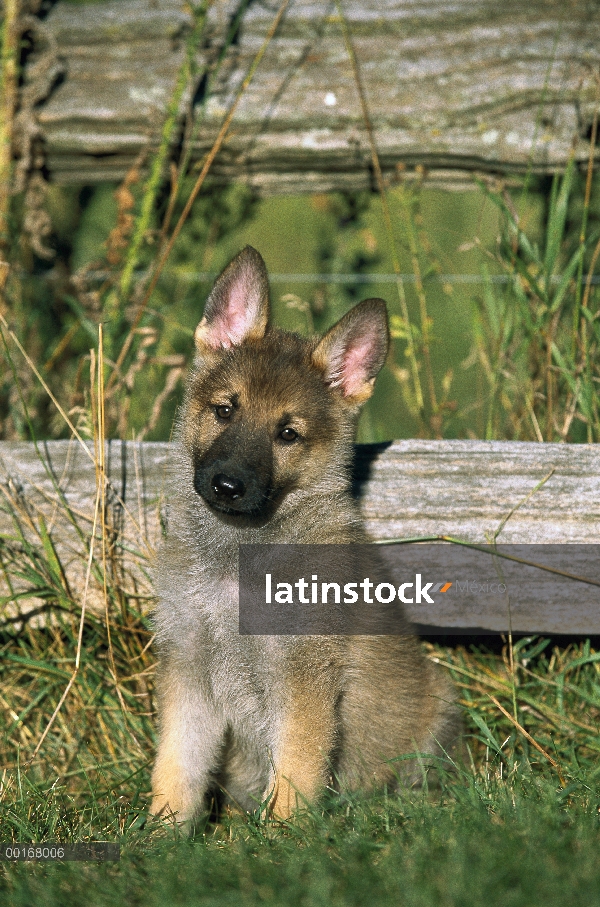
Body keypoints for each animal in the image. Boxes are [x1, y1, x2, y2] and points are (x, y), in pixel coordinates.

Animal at [151, 245, 460, 828]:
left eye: (288, 434)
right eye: (224, 410)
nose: (227, 485)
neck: (239, 562)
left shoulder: (304, 681)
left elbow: (294, 774)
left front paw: (280, 840)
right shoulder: (190, 667)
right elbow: (177, 768)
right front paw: (159, 835)